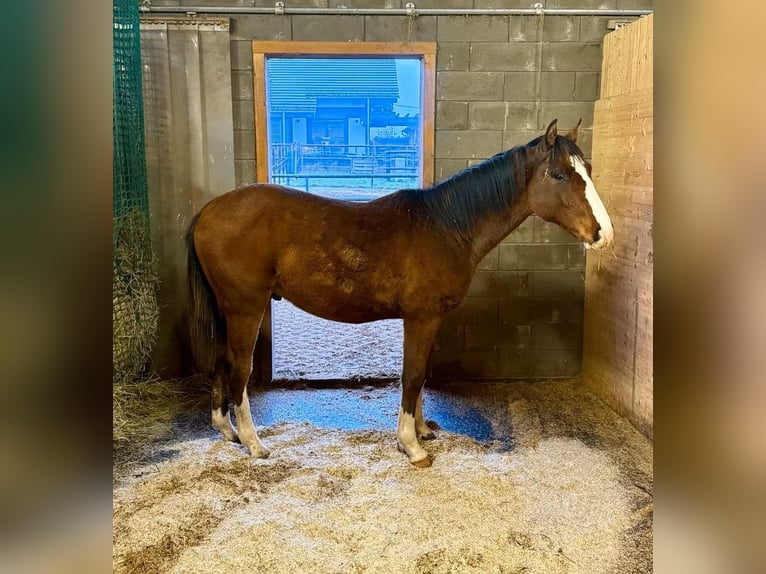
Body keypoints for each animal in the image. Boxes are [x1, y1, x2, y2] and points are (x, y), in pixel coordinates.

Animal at [186, 119, 613, 467]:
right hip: (246, 309)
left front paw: (422, 431)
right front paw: (412, 446)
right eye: (559, 175)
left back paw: (227, 431)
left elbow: (419, 375)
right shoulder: (421, 317)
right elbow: (411, 376)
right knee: (239, 370)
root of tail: (208, 211)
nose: (603, 233)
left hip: (229, 311)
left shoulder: (428, 320)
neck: (447, 227)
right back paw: (254, 444)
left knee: (223, 362)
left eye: (589, 171)